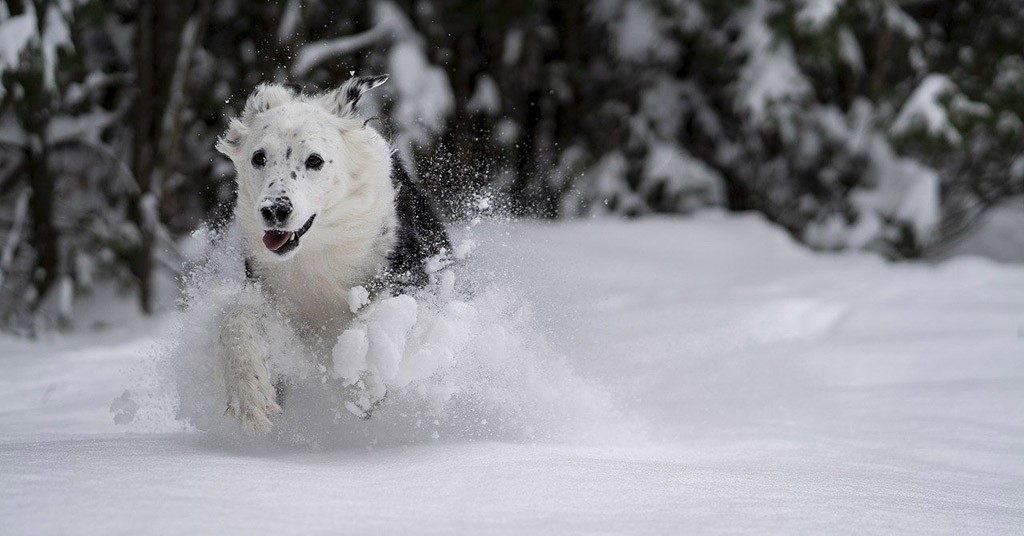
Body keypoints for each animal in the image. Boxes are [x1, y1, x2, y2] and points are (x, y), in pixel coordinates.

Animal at [215, 75, 448, 434]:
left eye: (314, 160)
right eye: (259, 157)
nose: (274, 210)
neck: (318, 248)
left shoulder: (409, 279)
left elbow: (373, 319)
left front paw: (362, 382)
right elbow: (237, 318)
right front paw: (250, 395)